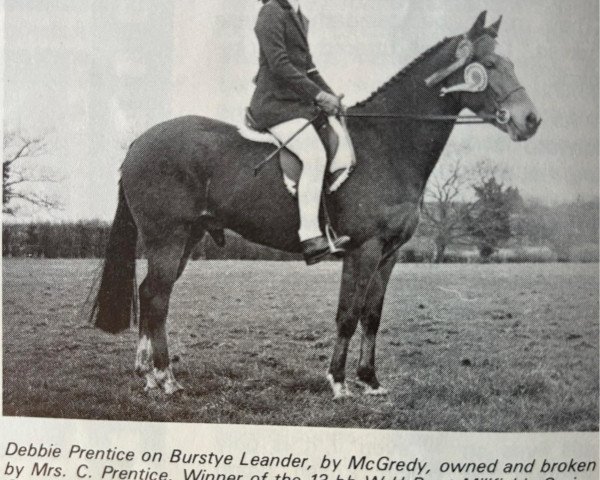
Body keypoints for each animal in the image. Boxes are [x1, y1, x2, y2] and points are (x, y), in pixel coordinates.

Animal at [92, 11, 540, 400]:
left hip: (186, 238)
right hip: (167, 237)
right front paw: (338, 383)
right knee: (156, 297)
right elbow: (348, 313)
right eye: (489, 64)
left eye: (511, 62)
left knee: (151, 293)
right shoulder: (364, 250)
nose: (530, 120)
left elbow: (372, 316)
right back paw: (165, 378)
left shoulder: (389, 255)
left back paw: (148, 372)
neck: (388, 143)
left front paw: (370, 381)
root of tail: (138, 143)